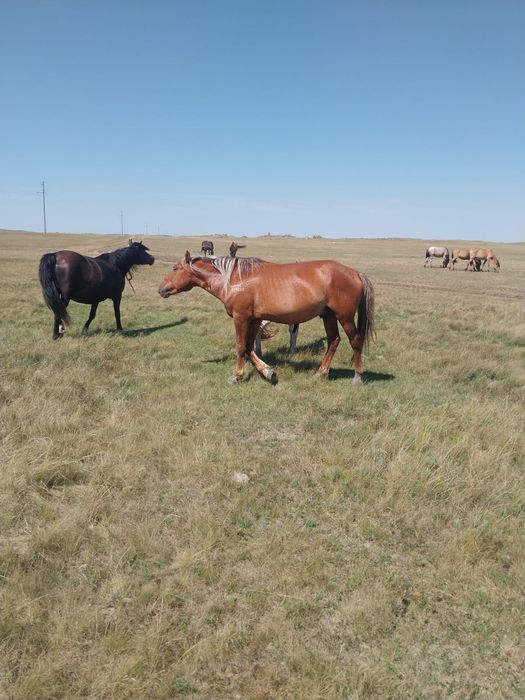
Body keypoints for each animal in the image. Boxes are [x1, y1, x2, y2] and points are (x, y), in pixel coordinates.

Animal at [159, 253, 375, 385]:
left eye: (176, 268)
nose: (161, 289)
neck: (235, 279)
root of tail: (355, 273)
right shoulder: (254, 320)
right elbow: (249, 348)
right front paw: (268, 372)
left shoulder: (241, 318)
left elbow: (240, 347)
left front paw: (237, 376)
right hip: (328, 316)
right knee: (333, 341)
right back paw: (321, 373)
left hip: (344, 317)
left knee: (355, 341)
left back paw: (357, 377)